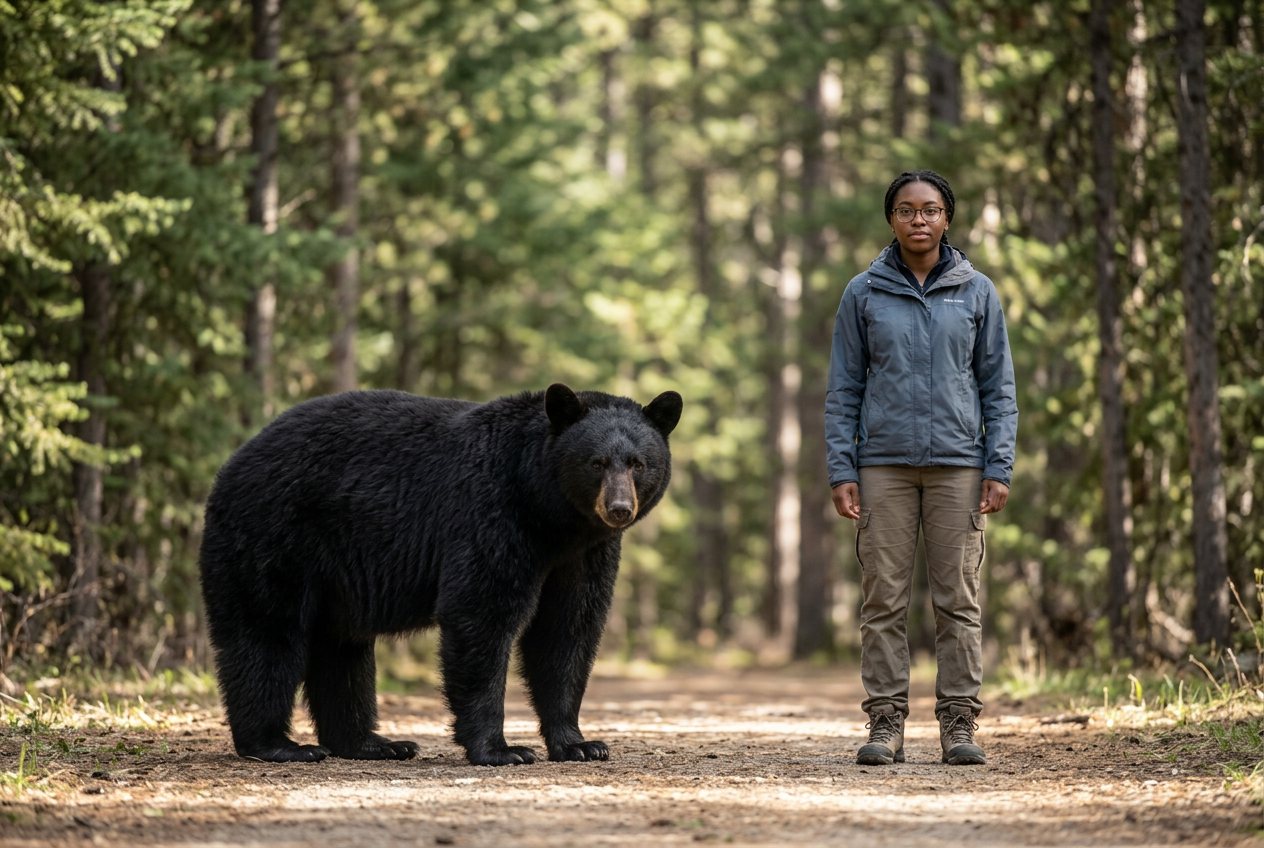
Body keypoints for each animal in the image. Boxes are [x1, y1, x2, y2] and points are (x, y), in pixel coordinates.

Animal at [198, 383, 682, 766]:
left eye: (638, 463)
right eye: (596, 462)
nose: (618, 509)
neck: (550, 515)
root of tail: (231, 464)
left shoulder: (583, 555)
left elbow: (568, 630)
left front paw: (580, 743)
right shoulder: (492, 514)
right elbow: (481, 614)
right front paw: (502, 749)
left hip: (333, 576)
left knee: (341, 650)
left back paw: (375, 743)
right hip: (275, 534)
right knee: (267, 634)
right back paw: (279, 745)